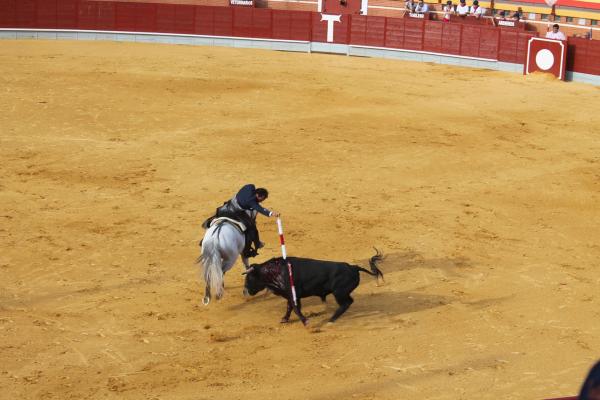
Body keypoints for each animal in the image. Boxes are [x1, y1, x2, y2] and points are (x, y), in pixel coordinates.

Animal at [243, 250, 384, 324]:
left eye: (249, 278)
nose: (245, 292)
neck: (275, 271)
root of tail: (354, 267)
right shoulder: (290, 295)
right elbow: (289, 307)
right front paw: (284, 319)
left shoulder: (293, 295)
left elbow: (295, 308)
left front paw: (305, 321)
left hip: (339, 292)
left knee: (346, 303)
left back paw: (331, 319)